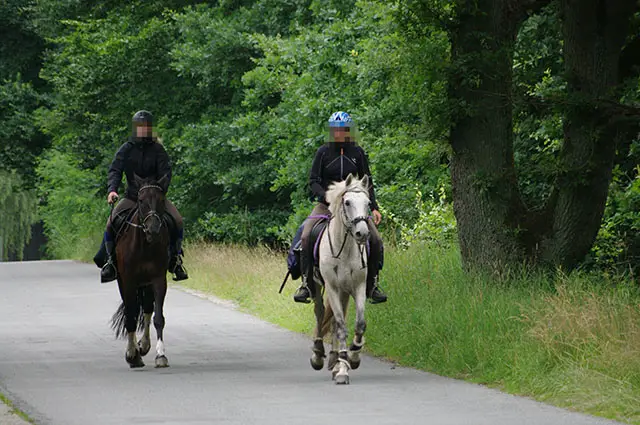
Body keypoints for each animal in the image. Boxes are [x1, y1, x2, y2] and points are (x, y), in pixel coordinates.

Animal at [110, 174, 171, 369]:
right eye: (141, 200)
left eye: (161, 200)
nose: (153, 230)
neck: (145, 246)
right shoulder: (127, 281)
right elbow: (130, 315)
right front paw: (132, 355)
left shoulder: (158, 280)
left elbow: (158, 317)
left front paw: (160, 355)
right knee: (134, 310)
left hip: (146, 284)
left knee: (147, 310)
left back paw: (144, 346)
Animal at [309, 174, 372, 384]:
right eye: (347, 202)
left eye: (368, 203)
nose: (362, 233)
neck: (344, 249)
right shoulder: (333, 288)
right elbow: (342, 327)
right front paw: (343, 370)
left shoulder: (358, 287)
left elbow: (359, 324)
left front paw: (352, 357)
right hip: (318, 286)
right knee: (320, 313)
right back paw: (318, 355)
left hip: (344, 292)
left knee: (335, 321)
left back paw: (335, 362)